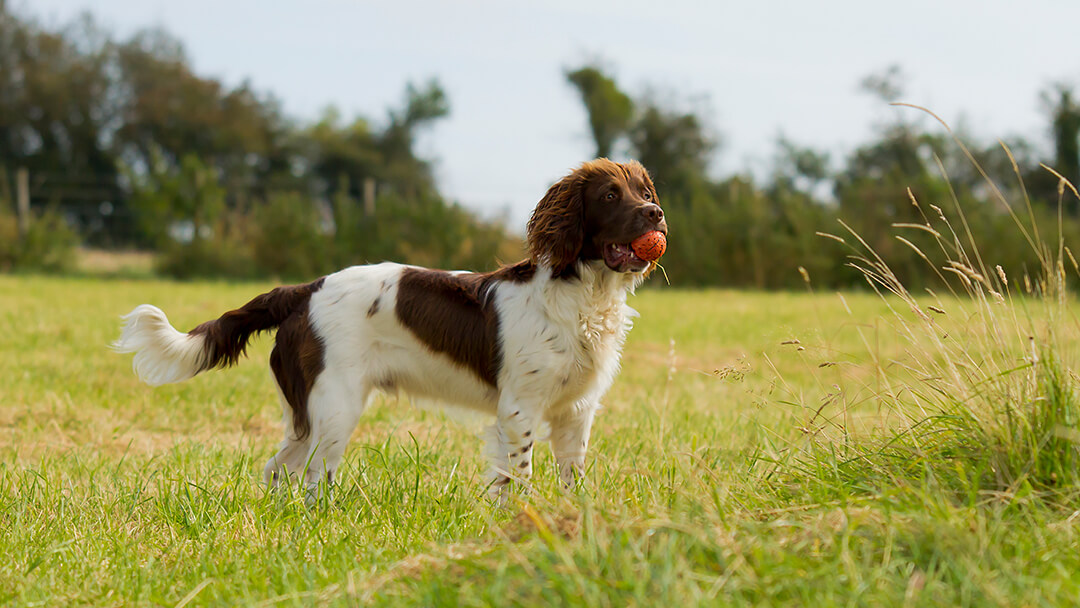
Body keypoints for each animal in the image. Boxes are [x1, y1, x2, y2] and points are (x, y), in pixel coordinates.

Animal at [111, 158, 665, 498]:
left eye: (644, 191)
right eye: (610, 196)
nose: (656, 213)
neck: (581, 293)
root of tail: (304, 289)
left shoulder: (576, 412)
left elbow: (573, 480)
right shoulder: (520, 409)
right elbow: (518, 479)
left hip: (310, 414)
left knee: (279, 469)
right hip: (335, 408)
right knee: (313, 478)